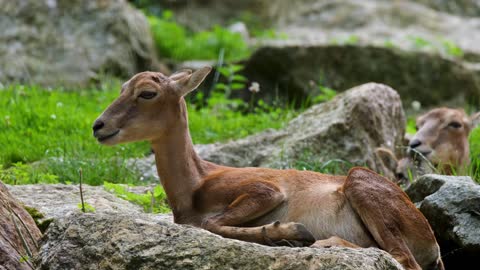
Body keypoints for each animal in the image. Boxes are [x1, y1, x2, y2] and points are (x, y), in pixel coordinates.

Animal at [94, 67, 446, 270]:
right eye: (121, 88)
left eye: (147, 92)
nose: (99, 126)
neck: (195, 185)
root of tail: (433, 244)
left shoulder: (264, 189)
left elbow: (212, 222)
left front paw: (289, 232)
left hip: (361, 182)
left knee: (402, 258)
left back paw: (322, 241)